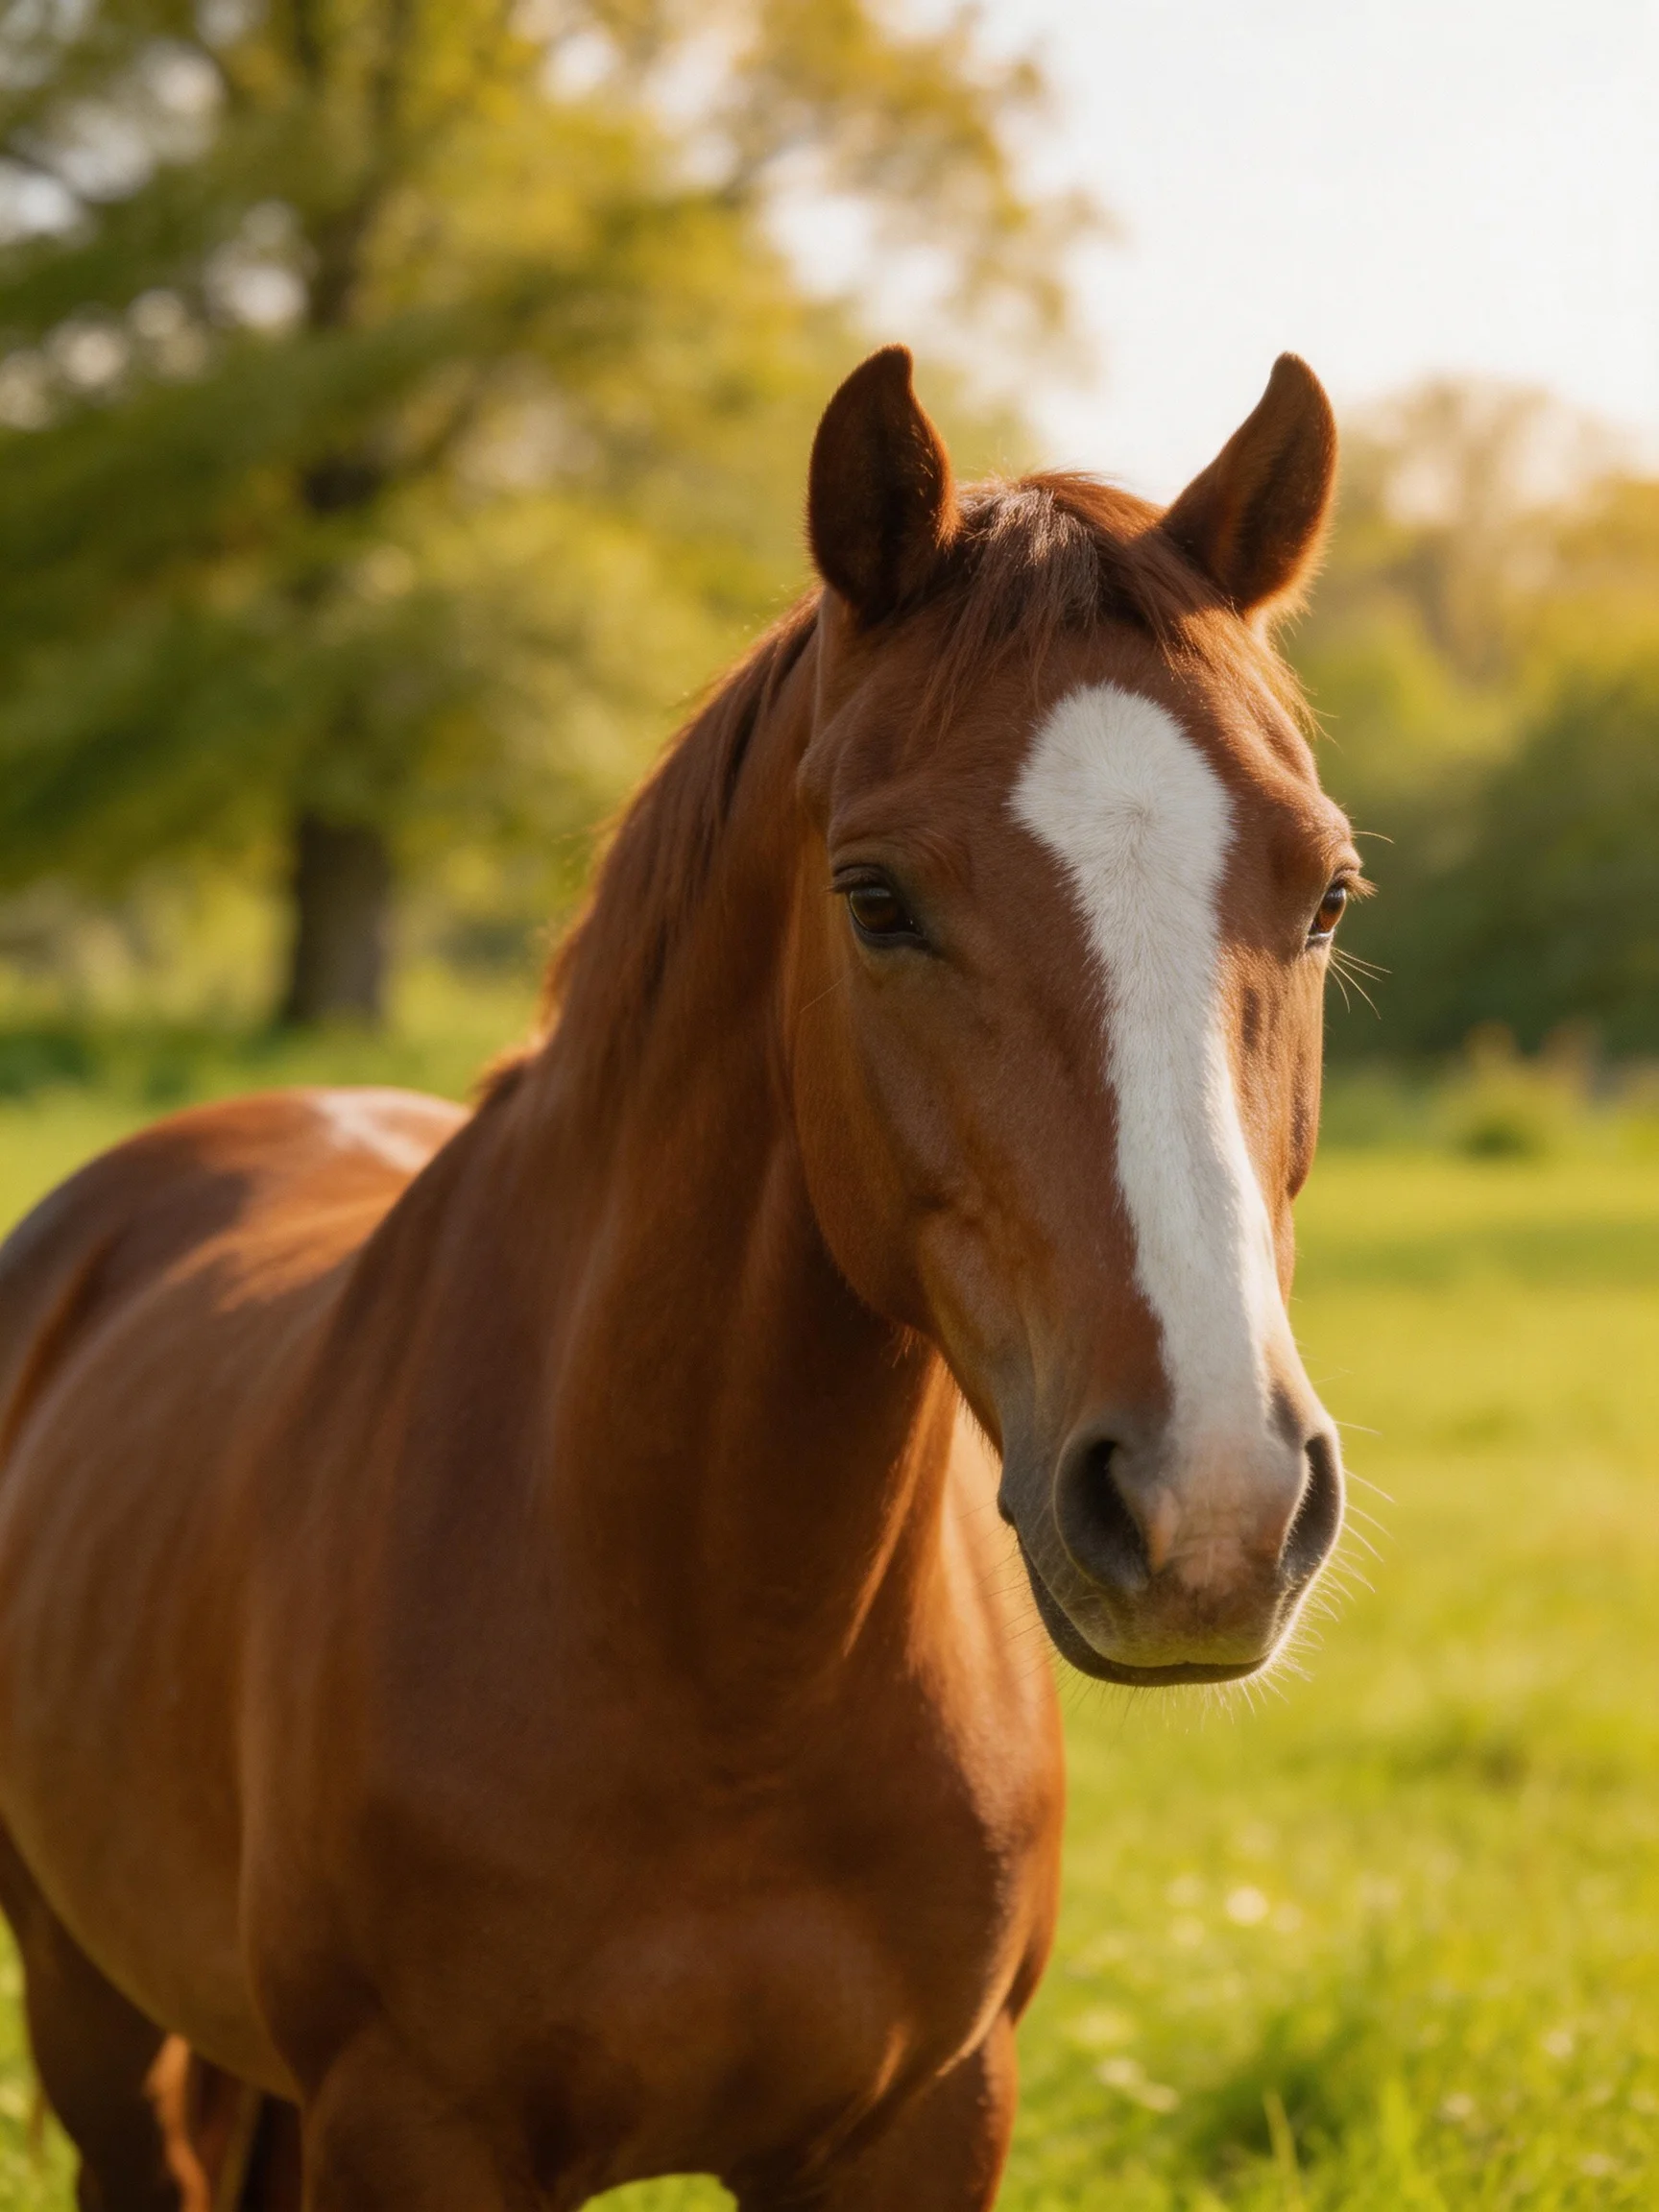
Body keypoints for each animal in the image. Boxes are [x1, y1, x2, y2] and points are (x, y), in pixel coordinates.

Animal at [0, 343, 1356, 2212]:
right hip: (95, 2018)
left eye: (1324, 894)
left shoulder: (923, 2122)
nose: (1209, 1507)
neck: (718, 1651)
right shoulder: (413, 2132)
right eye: (875, 897)